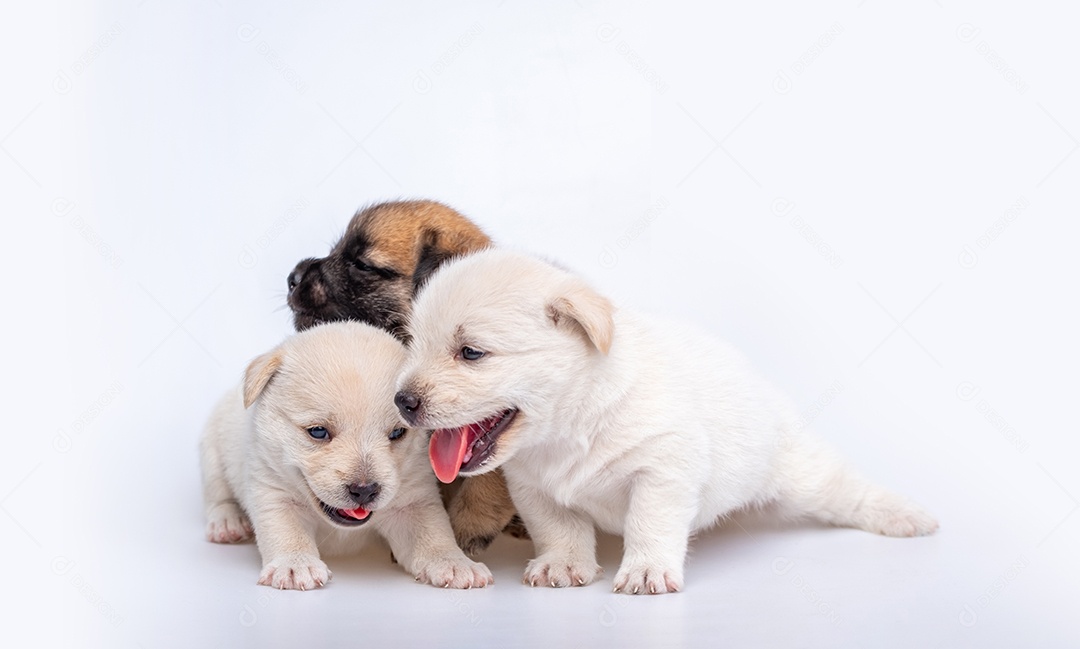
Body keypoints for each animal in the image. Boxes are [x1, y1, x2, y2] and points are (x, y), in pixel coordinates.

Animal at [199, 321, 494, 591]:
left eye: (397, 432)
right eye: (318, 431)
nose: (364, 491)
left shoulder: (414, 504)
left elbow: (433, 534)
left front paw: (455, 563)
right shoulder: (273, 493)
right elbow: (287, 531)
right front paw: (295, 565)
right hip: (211, 450)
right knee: (218, 496)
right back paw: (228, 523)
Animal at [395, 250, 937, 596]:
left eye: (471, 353)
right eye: (413, 344)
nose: (401, 401)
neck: (571, 425)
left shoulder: (663, 469)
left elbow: (648, 522)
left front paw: (645, 571)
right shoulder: (534, 489)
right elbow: (559, 526)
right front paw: (565, 564)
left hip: (800, 475)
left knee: (848, 490)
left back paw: (904, 515)